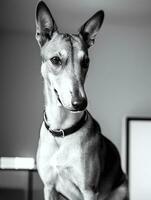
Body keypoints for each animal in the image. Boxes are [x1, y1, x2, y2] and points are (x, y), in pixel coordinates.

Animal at [35, 0, 127, 199]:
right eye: (55, 60)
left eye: (86, 62)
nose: (80, 103)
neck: (61, 130)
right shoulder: (49, 187)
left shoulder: (89, 190)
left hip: (121, 190)